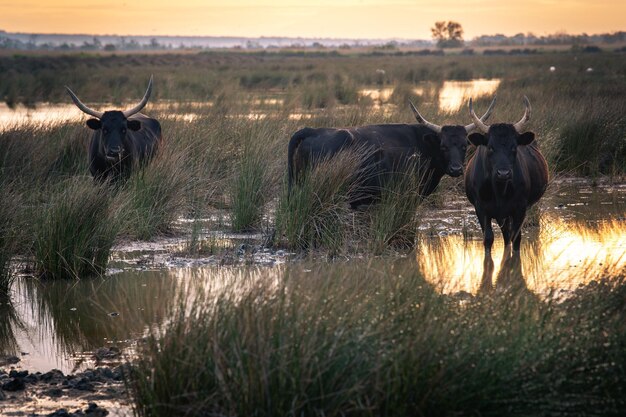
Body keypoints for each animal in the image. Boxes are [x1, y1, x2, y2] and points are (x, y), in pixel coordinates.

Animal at [464, 96, 544, 254]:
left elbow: (516, 238)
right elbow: (488, 238)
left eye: (514, 147)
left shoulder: (520, 208)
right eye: (490, 147)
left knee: (509, 235)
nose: (503, 173)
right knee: (506, 234)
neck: (499, 190)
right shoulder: (480, 208)